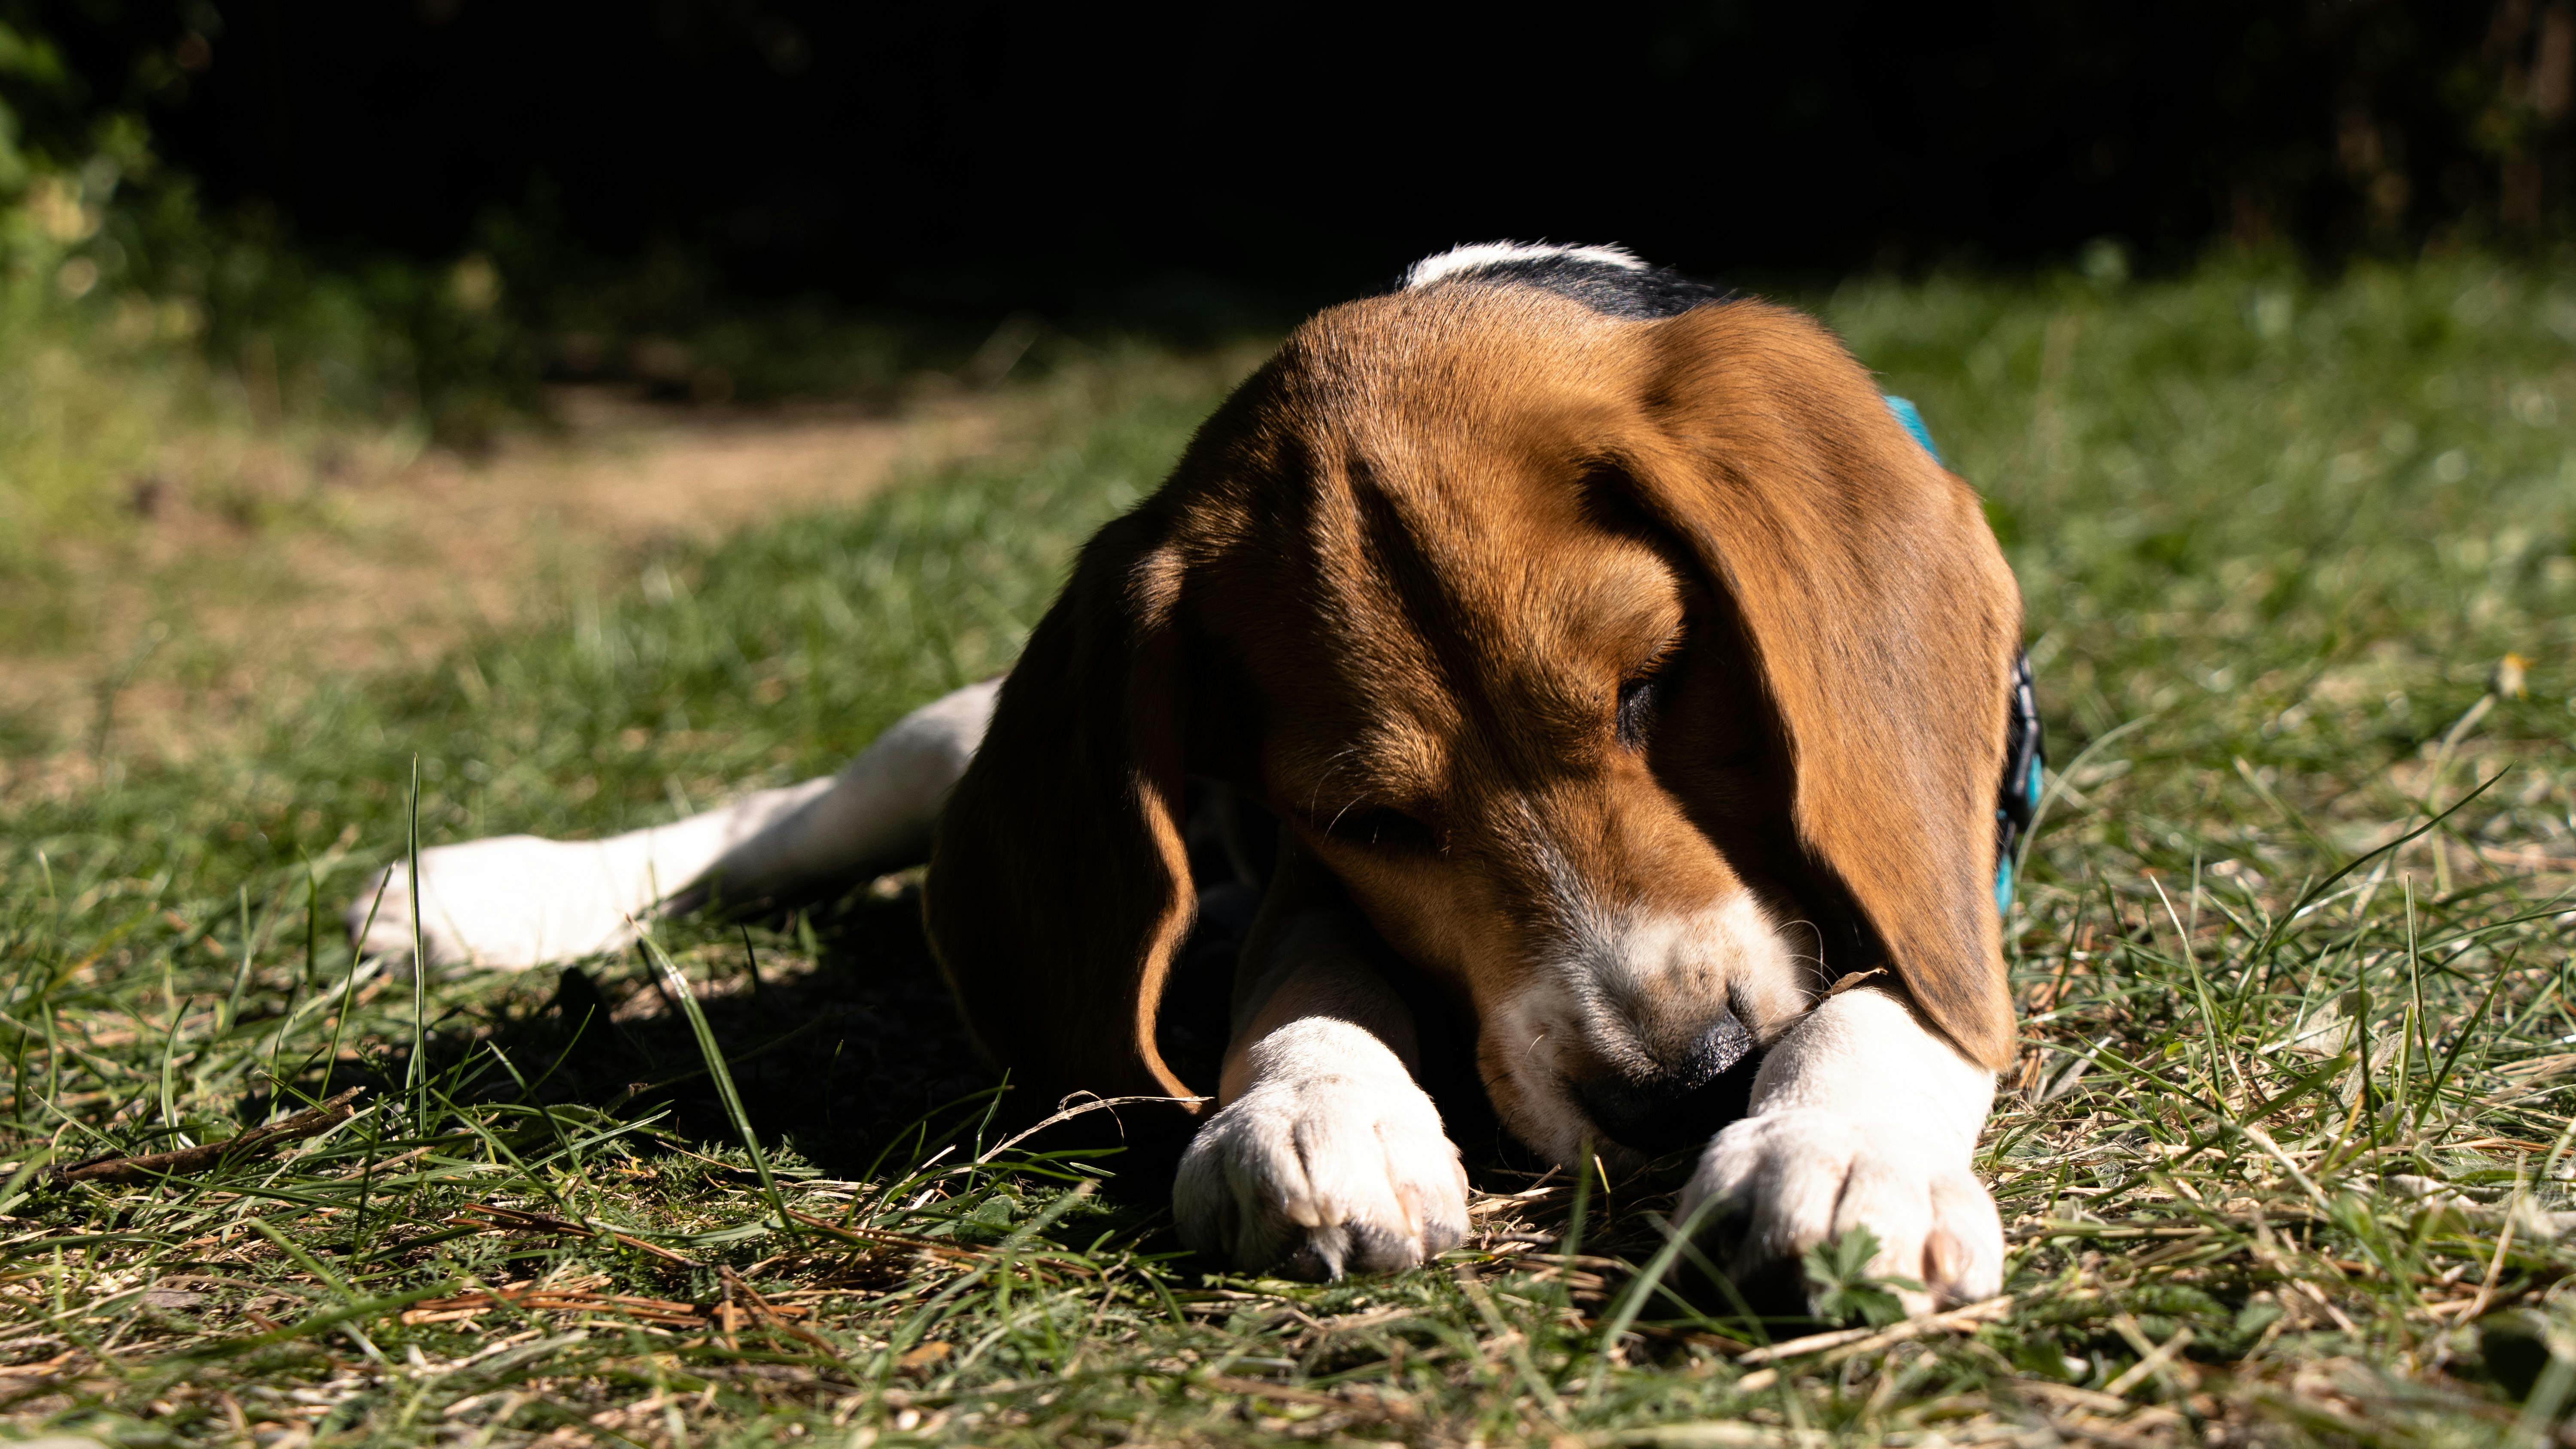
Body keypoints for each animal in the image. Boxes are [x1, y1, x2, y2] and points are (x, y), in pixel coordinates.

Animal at [358, 242, 2030, 1304]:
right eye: (1370, 819)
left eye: (1650, 690)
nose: (1684, 1088)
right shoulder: (1296, 870)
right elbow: (1298, 983)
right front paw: (1316, 1109)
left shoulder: (1948, 855)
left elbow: (1904, 993)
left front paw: (1836, 1149)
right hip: (959, 749)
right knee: (784, 818)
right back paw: (480, 894)